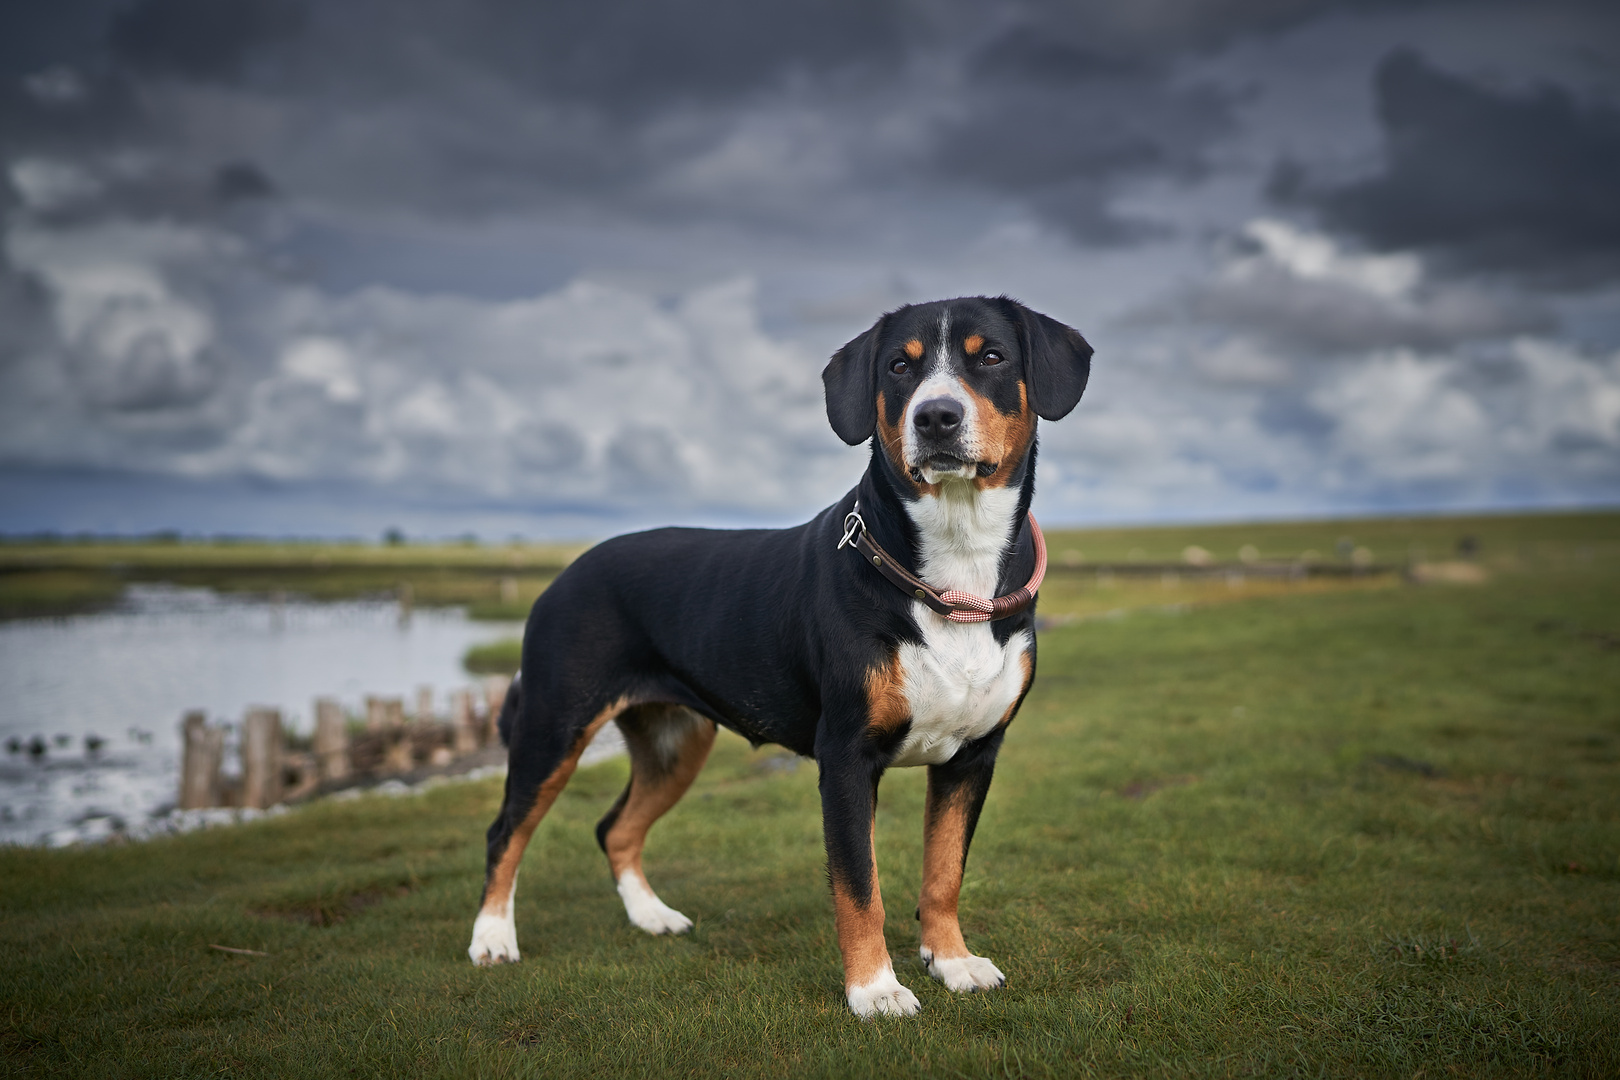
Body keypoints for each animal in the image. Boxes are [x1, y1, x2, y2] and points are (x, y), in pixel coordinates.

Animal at [473, 293, 1095, 1016]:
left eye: (990, 356)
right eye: (899, 366)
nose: (936, 415)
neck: (955, 565)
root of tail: (565, 574)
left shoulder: (972, 756)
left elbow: (943, 872)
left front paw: (953, 962)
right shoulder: (847, 755)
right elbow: (860, 887)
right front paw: (875, 990)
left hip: (675, 742)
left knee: (615, 828)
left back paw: (652, 917)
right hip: (555, 726)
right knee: (506, 832)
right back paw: (492, 940)